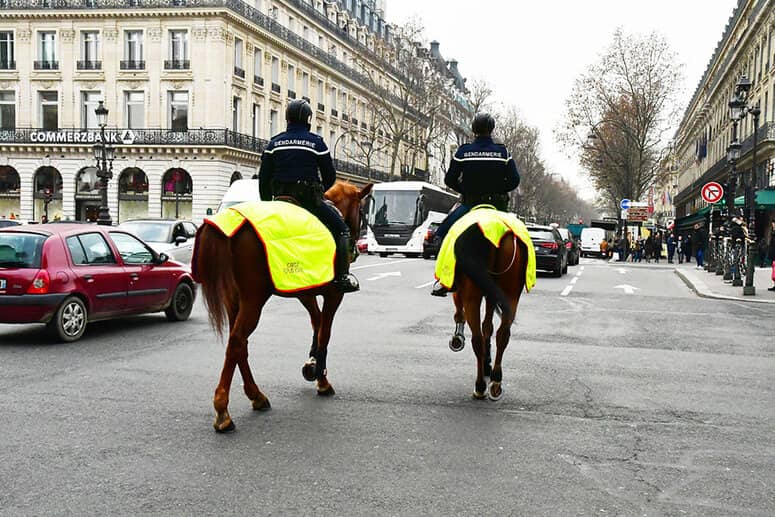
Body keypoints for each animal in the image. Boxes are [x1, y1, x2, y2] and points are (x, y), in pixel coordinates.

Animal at [196, 181, 374, 432]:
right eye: (362, 211)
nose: (357, 246)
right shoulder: (333, 294)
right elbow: (325, 332)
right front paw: (321, 379)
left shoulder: (304, 290)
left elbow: (317, 322)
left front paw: (312, 365)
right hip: (254, 299)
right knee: (237, 342)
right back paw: (223, 412)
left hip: (234, 299)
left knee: (239, 345)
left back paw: (257, 396)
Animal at [446, 225, 532, 400]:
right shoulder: (493, 296)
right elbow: (488, 326)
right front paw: (488, 363)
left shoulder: (461, 291)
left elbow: (461, 312)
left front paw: (458, 337)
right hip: (511, 295)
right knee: (502, 334)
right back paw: (496, 381)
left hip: (472, 296)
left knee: (477, 339)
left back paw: (480, 386)